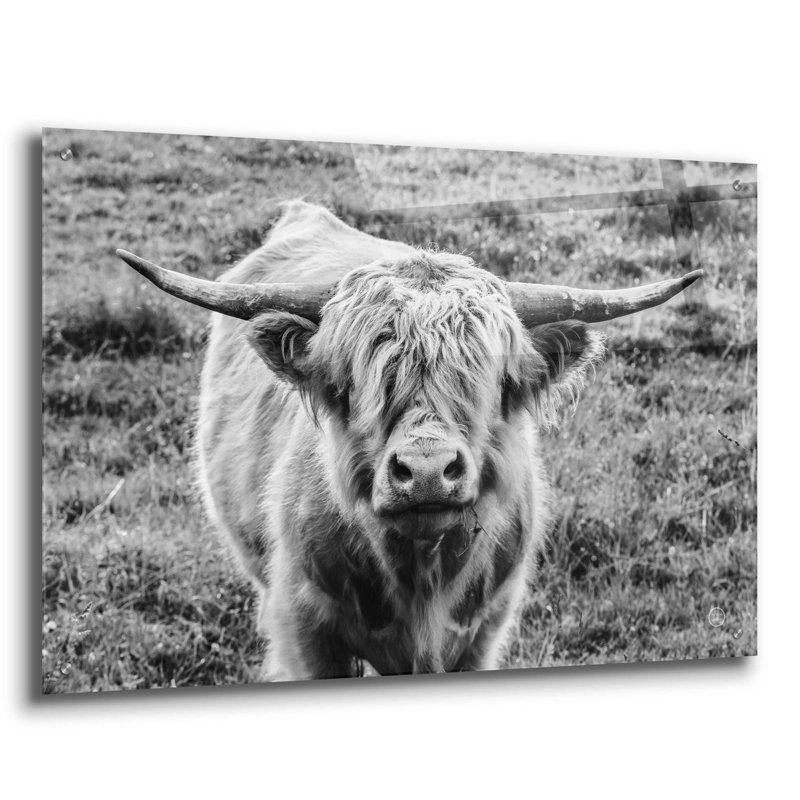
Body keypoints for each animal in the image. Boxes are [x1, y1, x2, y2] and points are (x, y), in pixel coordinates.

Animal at [116, 200, 701, 681]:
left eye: (489, 379)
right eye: (358, 379)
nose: (425, 471)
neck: (421, 579)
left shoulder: (484, 632)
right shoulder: (304, 629)